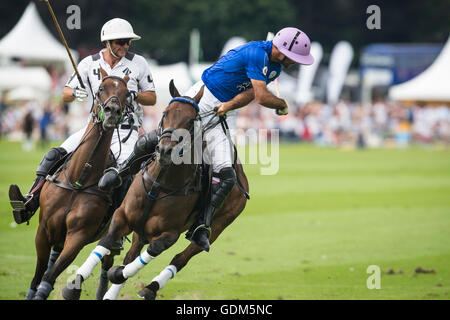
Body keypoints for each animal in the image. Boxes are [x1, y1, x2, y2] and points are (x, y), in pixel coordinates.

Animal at [29, 68, 131, 300]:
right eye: (101, 88)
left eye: (127, 94)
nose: (112, 111)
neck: (79, 180)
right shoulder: (44, 230)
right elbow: (38, 277)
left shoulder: (78, 236)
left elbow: (48, 278)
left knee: (105, 267)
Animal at [64, 80, 250, 300]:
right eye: (165, 113)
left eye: (190, 121)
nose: (165, 150)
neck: (160, 183)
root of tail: (241, 175)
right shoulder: (122, 215)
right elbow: (108, 241)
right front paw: (75, 283)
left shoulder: (170, 234)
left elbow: (152, 250)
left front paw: (117, 274)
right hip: (140, 230)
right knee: (132, 254)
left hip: (219, 225)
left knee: (180, 258)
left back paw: (149, 288)